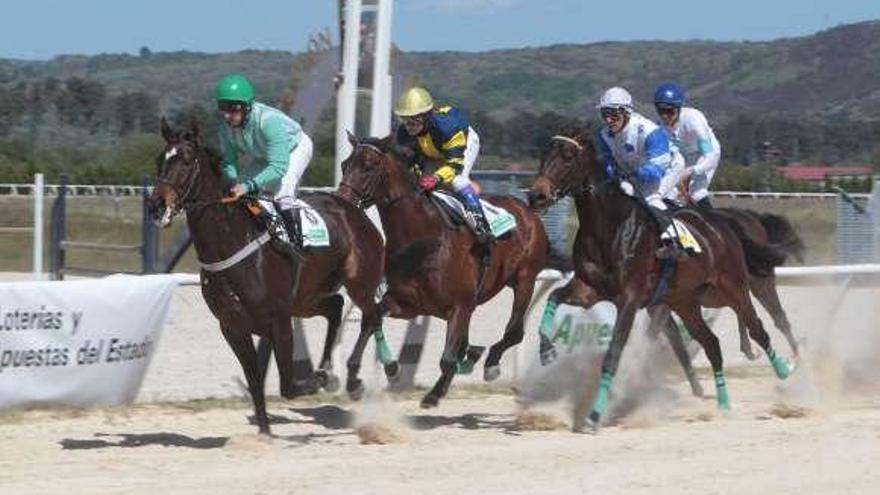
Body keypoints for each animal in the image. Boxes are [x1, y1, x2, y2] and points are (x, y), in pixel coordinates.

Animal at [150, 119, 388, 434]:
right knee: (335, 306)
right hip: (306, 298)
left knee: (371, 316)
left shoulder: (279, 320)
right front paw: (264, 432)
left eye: (187, 160)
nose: (156, 205)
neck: (231, 241)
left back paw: (351, 379)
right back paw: (331, 368)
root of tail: (355, 211)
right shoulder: (233, 327)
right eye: (160, 159)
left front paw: (318, 379)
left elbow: (288, 385)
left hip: (358, 282)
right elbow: (254, 381)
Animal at [336, 134, 548, 408]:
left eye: (369, 166)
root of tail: (527, 209)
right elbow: (371, 320)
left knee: (514, 332)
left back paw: (490, 363)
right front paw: (359, 380)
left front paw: (434, 394)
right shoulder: (406, 303)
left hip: (525, 279)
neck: (423, 239)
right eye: (344, 164)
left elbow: (447, 358)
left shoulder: (460, 305)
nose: (342, 201)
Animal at [524, 126, 796, 432]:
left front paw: (594, 416)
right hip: (686, 303)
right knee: (712, 343)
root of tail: (722, 224)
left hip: (735, 287)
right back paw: (723, 403)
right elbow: (553, 297)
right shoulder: (589, 289)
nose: (537, 196)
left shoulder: (630, 301)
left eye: (568, 157)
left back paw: (786, 369)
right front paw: (547, 351)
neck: (609, 229)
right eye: (544, 154)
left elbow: (614, 354)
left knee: (760, 327)